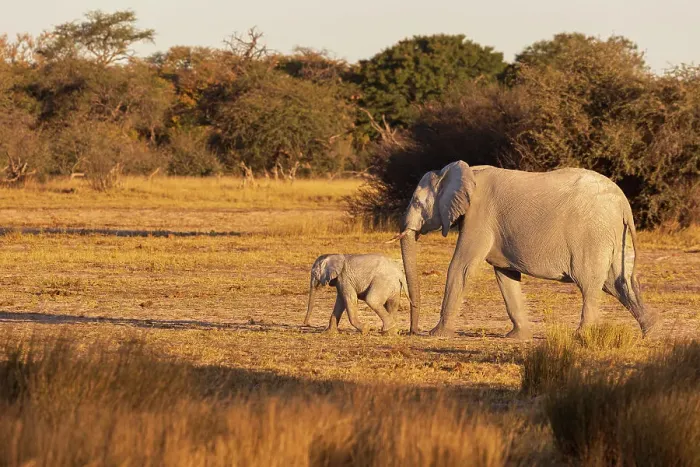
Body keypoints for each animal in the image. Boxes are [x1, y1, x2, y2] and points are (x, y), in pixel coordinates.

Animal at [395, 160, 658, 338]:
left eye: (417, 203)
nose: (413, 331)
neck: (462, 171)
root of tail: (624, 203)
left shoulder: (479, 215)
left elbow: (461, 267)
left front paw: (436, 334)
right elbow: (505, 275)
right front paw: (517, 337)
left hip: (593, 235)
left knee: (591, 285)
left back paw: (580, 335)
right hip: (614, 234)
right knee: (619, 283)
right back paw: (650, 331)